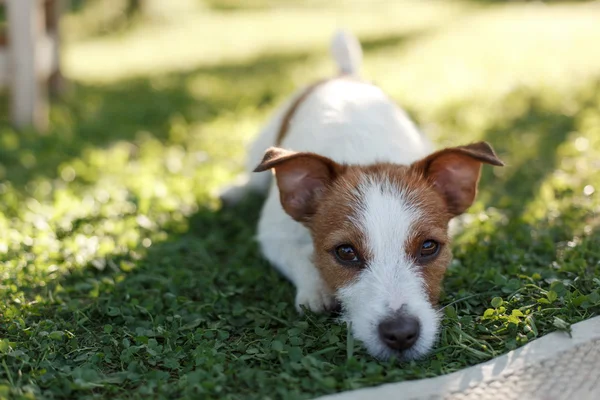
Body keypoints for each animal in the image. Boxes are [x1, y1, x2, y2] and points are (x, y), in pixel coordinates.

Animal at [219, 31, 502, 360]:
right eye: (345, 252)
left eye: (429, 247)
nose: (401, 334)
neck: (367, 156)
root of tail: (345, 75)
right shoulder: (273, 233)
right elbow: (299, 258)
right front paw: (316, 290)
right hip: (261, 148)